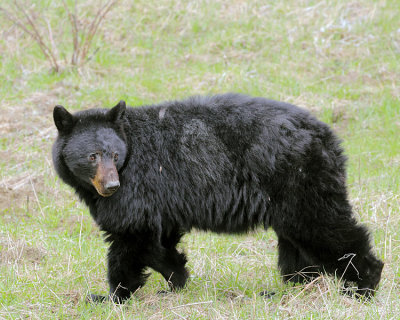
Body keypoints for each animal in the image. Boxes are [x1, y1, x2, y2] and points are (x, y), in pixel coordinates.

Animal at [51, 93, 382, 302]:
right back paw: (292, 289)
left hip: (299, 182)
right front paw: (176, 280)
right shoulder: (162, 200)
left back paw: (363, 287)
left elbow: (130, 239)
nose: (111, 186)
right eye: (92, 156)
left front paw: (111, 296)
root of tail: (328, 136)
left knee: (325, 229)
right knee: (297, 248)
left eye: (115, 155)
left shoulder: (138, 188)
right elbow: (161, 242)